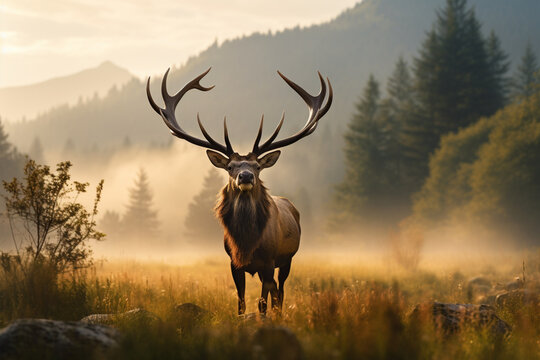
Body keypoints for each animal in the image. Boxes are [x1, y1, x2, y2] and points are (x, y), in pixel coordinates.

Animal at [149, 68, 334, 316]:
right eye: (230, 167)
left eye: (257, 166)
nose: (245, 176)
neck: (247, 243)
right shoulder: (233, 262)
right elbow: (241, 302)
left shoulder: (269, 262)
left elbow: (263, 303)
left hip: (287, 260)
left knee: (280, 291)